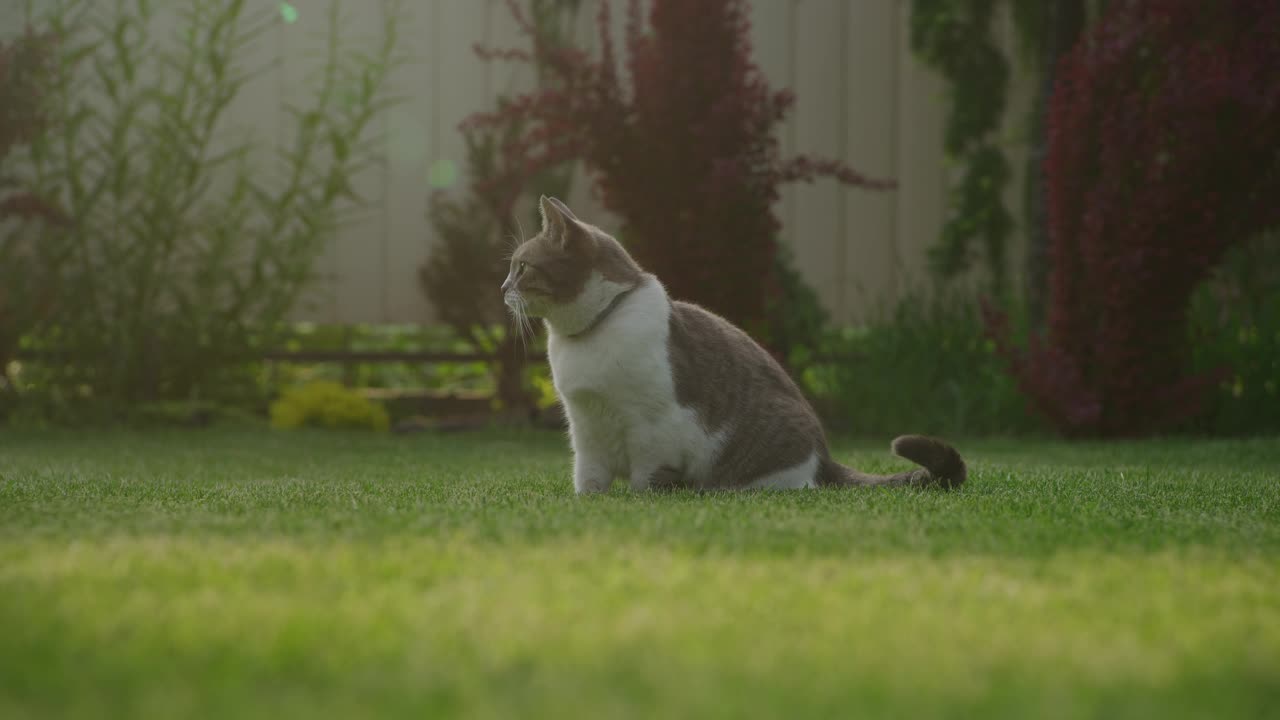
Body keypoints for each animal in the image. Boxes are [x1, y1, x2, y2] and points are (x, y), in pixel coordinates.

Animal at [504, 193, 962, 489]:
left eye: (521, 267)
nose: (502, 287)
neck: (591, 335)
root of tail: (825, 458)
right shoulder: (585, 430)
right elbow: (589, 481)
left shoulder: (652, 429)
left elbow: (644, 480)